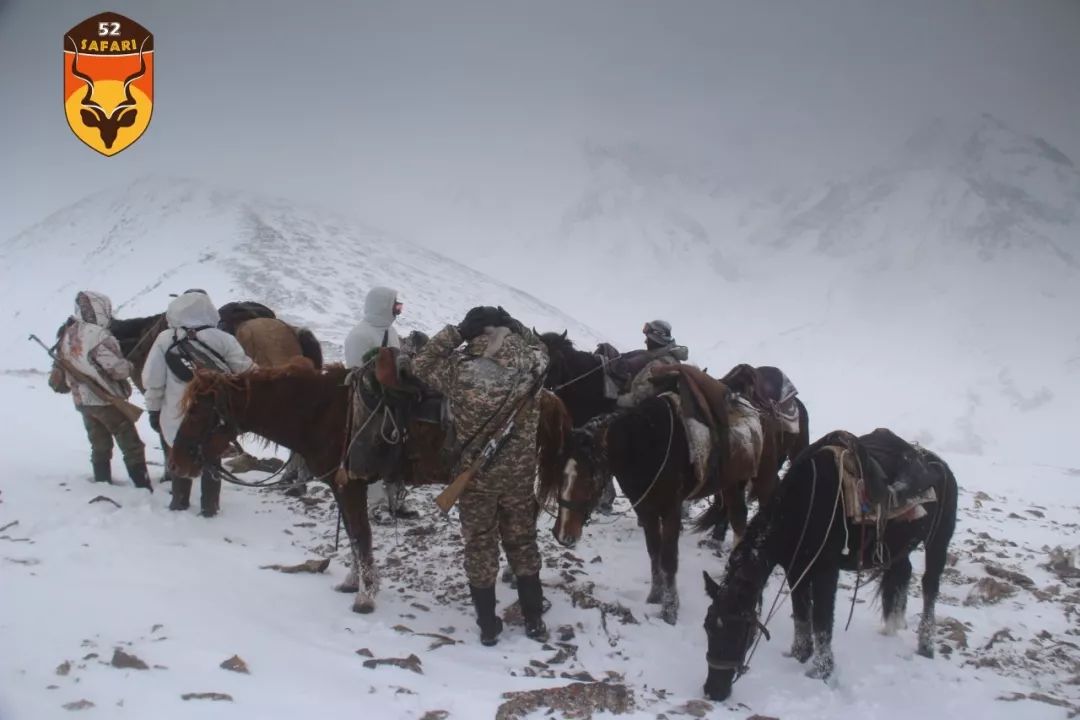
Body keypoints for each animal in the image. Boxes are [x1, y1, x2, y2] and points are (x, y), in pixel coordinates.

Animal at [695, 431, 959, 699]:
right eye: (707, 627)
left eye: (742, 632)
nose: (713, 691)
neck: (803, 507)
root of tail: (942, 468)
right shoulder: (796, 569)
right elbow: (802, 615)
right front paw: (800, 654)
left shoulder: (826, 570)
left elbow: (822, 621)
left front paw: (821, 671)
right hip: (896, 549)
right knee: (902, 573)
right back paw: (891, 626)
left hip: (938, 543)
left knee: (930, 587)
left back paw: (926, 645)